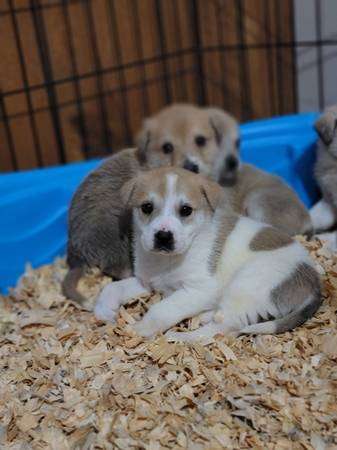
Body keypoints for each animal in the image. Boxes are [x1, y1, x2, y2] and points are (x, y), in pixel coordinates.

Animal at [94, 168, 320, 342]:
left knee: (225, 327)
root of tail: (313, 284)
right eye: (147, 207)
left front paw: (141, 328)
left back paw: (182, 338)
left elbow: (162, 309)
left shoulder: (198, 290)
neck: (167, 260)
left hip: (244, 287)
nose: (163, 236)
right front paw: (104, 310)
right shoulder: (147, 282)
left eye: (186, 210)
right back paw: (205, 316)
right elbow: (112, 287)